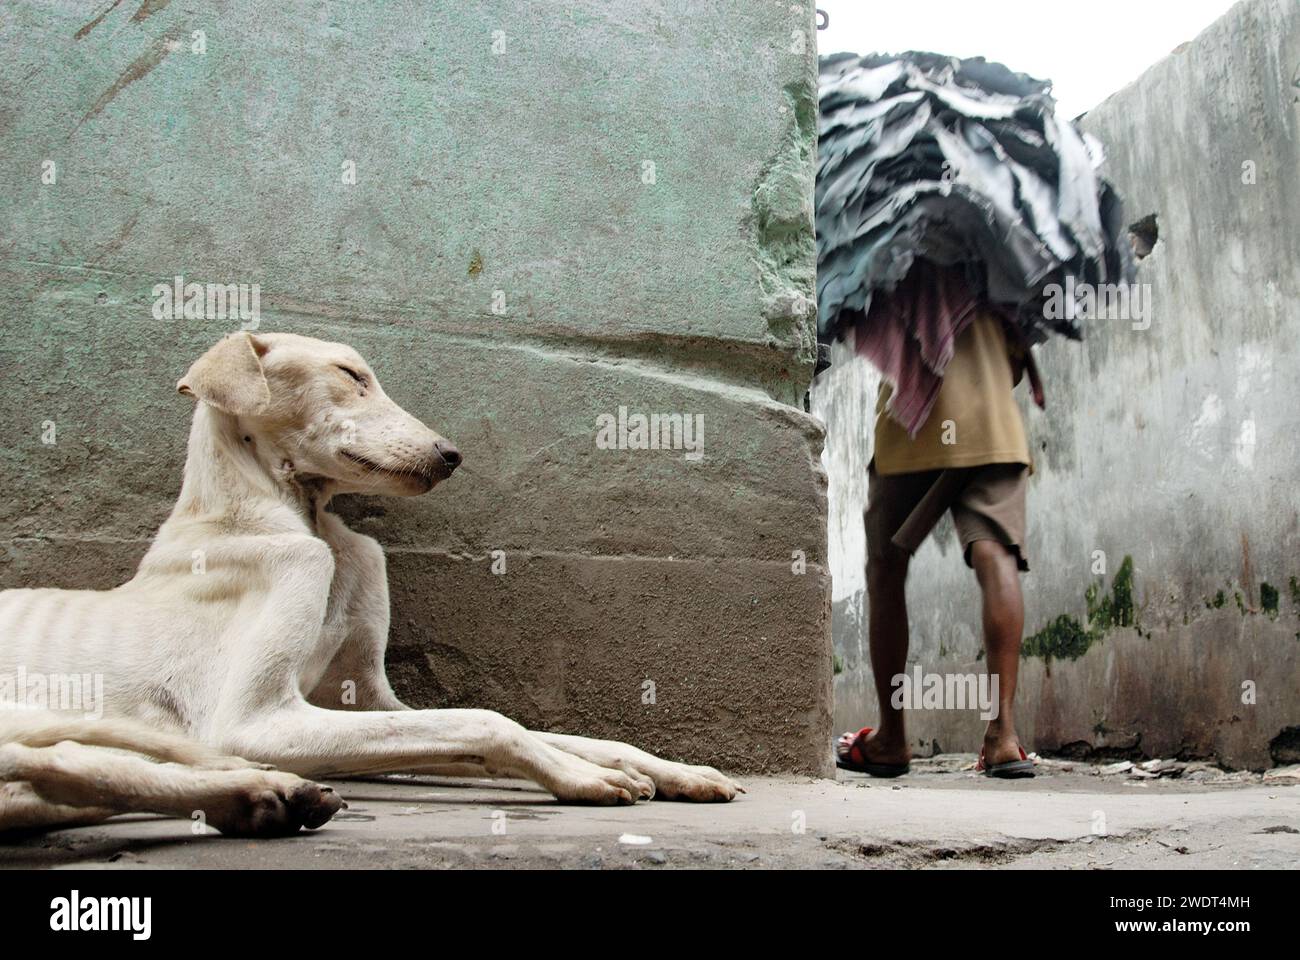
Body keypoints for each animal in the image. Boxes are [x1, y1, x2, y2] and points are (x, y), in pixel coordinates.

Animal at [0, 333, 743, 832]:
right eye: (351, 374)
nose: (451, 454)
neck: (302, 522)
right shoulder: (255, 720)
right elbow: (488, 720)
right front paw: (583, 777)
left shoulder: (366, 702)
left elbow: (546, 731)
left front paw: (665, 769)